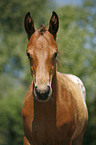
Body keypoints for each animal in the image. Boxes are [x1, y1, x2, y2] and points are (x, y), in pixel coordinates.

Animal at [22, 11, 88, 145]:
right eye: (28, 54)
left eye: (55, 53)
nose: (42, 92)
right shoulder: (28, 140)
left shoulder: (66, 140)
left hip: (78, 139)